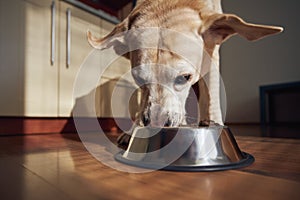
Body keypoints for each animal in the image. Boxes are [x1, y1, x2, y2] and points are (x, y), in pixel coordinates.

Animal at [86, 0, 282, 145]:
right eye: (138, 79)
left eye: (184, 77)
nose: (156, 123)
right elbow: (142, 104)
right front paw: (133, 130)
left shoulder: (212, 59)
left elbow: (210, 98)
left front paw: (214, 124)